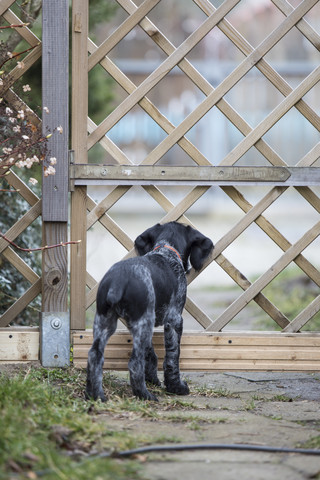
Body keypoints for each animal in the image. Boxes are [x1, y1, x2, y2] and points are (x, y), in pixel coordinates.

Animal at [86, 221, 214, 402]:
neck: (166, 249)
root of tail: (119, 280)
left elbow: (150, 353)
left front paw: (152, 379)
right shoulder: (174, 319)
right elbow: (173, 356)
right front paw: (176, 387)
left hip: (106, 321)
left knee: (94, 356)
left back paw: (95, 395)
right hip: (141, 322)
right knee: (134, 362)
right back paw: (144, 395)